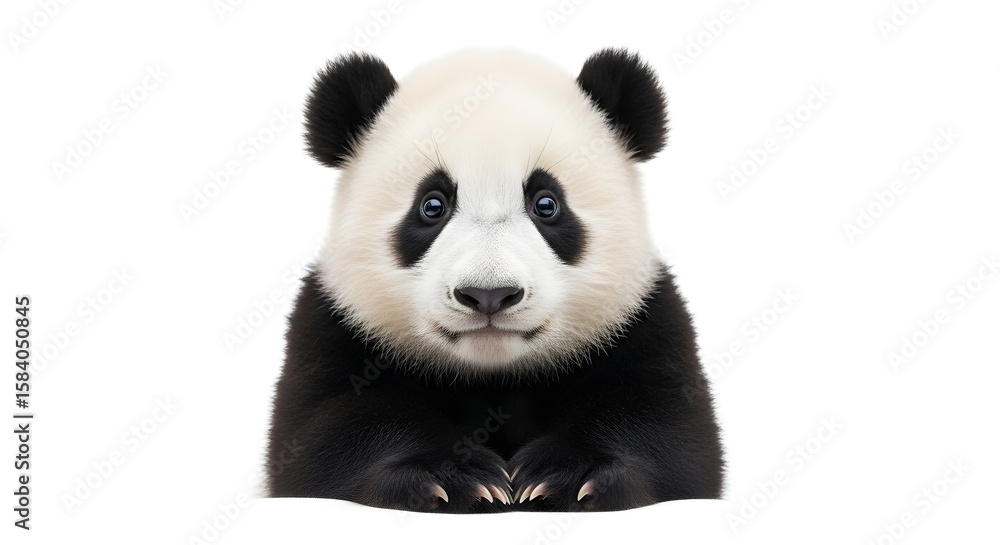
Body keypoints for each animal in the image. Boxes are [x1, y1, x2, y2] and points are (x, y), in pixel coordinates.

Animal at [266, 48, 723, 513]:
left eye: (546, 204)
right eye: (432, 205)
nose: (489, 294)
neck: (494, 376)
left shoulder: (642, 319)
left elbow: (668, 427)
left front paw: (567, 474)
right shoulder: (336, 327)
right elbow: (327, 430)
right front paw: (453, 476)